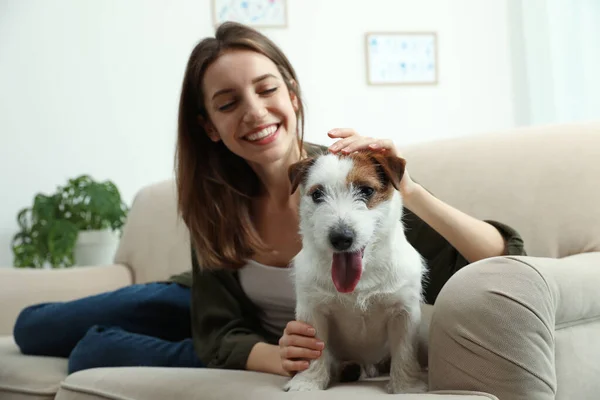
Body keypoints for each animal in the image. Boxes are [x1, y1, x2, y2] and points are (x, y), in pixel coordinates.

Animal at [282, 150, 426, 394]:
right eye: (317, 194)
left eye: (366, 190)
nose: (341, 238)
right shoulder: (313, 312)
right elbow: (314, 352)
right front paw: (307, 383)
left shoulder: (404, 312)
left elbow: (404, 351)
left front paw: (407, 387)